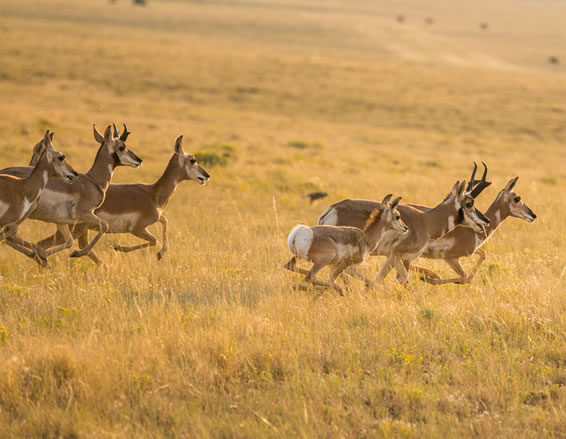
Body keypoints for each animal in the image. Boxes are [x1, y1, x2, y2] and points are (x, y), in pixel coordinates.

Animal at [33, 136, 211, 262]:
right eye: (193, 160)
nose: (206, 175)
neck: (153, 193)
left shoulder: (155, 220)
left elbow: (164, 221)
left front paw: (160, 254)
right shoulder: (137, 229)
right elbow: (154, 240)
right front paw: (118, 247)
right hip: (75, 230)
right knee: (42, 245)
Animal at [320, 180, 492, 288]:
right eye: (469, 203)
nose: (486, 221)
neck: (425, 220)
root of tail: (332, 209)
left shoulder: (402, 258)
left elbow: (402, 279)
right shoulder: (396, 255)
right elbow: (389, 278)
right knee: (344, 272)